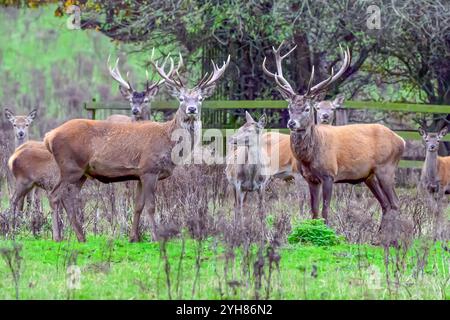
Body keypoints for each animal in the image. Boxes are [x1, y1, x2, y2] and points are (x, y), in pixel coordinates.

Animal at [45, 53, 230, 242]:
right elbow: (151, 206)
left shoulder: (140, 174)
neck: (168, 141)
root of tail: (49, 136)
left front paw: (134, 237)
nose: (192, 109)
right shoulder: (149, 169)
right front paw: (156, 237)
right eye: (181, 99)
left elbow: (138, 205)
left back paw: (81, 236)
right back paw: (57, 237)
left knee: (69, 197)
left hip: (82, 172)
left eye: (200, 99)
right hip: (70, 166)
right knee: (54, 195)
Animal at [262, 42, 406, 228]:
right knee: (386, 205)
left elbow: (325, 211)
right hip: (369, 176)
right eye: (289, 107)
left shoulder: (329, 174)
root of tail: (402, 140)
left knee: (395, 203)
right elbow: (314, 212)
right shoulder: (310, 178)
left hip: (386, 168)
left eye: (307, 108)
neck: (309, 157)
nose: (291, 123)